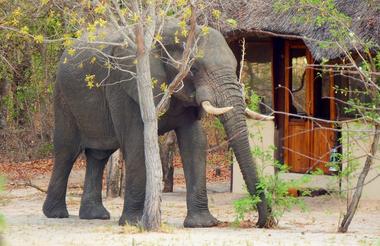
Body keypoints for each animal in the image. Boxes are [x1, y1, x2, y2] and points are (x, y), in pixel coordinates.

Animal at [42, 22, 270, 228]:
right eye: (194, 69)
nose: (261, 222)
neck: (168, 31)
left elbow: (195, 143)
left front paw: (202, 224)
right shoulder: (127, 84)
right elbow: (136, 143)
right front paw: (133, 223)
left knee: (99, 155)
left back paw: (95, 216)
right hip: (63, 96)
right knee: (66, 151)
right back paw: (56, 214)